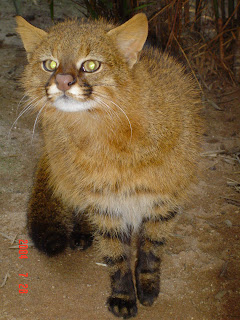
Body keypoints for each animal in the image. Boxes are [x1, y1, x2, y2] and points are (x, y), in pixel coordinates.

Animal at [15, 13, 202, 318]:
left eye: (91, 65)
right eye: (50, 64)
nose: (63, 81)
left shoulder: (164, 200)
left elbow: (151, 249)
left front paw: (147, 285)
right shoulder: (106, 203)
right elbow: (116, 255)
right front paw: (124, 294)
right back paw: (82, 230)